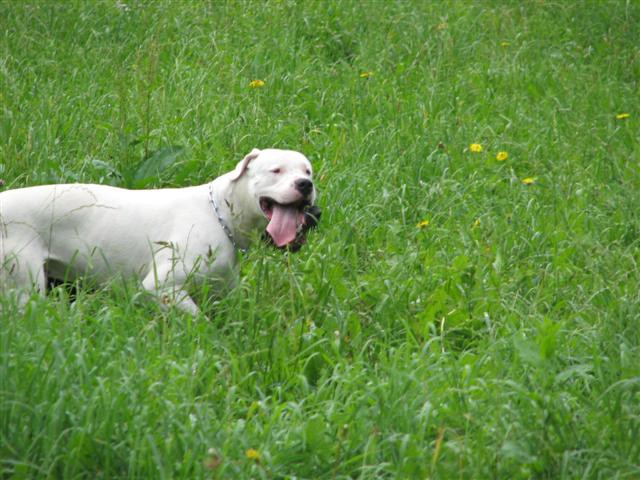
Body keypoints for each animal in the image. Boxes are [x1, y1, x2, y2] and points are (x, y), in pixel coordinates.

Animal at [0, 150, 320, 316]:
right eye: (276, 170)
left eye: (308, 171)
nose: (305, 184)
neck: (219, 214)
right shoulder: (161, 286)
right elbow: (198, 320)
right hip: (25, 289)